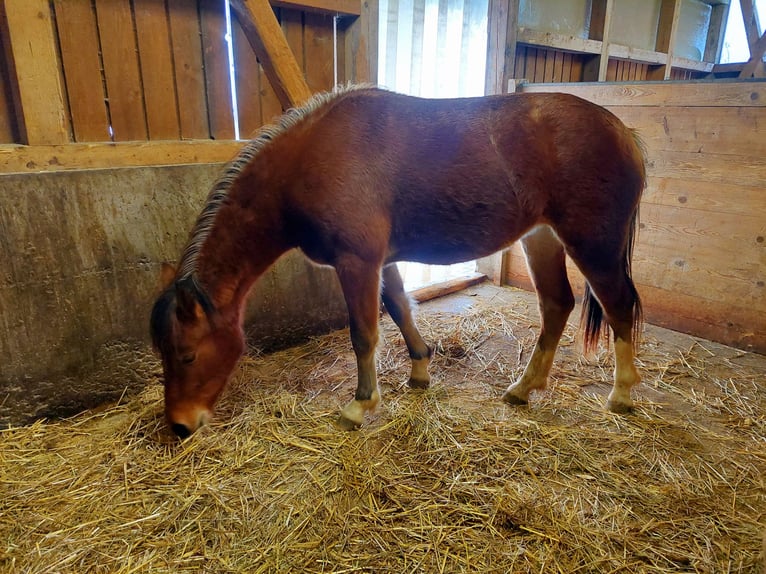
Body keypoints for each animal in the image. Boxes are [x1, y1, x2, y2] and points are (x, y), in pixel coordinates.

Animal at [150, 84, 645, 439]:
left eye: (188, 354)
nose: (179, 426)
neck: (314, 156)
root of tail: (622, 131)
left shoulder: (357, 262)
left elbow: (364, 334)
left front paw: (359, 405)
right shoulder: (382, 261)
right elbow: (401, 310)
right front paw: (420, 371)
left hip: (593, 246)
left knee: (618, 306)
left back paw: (621, 394)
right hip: (542, 238)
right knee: (557, 305)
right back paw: (523, 389)